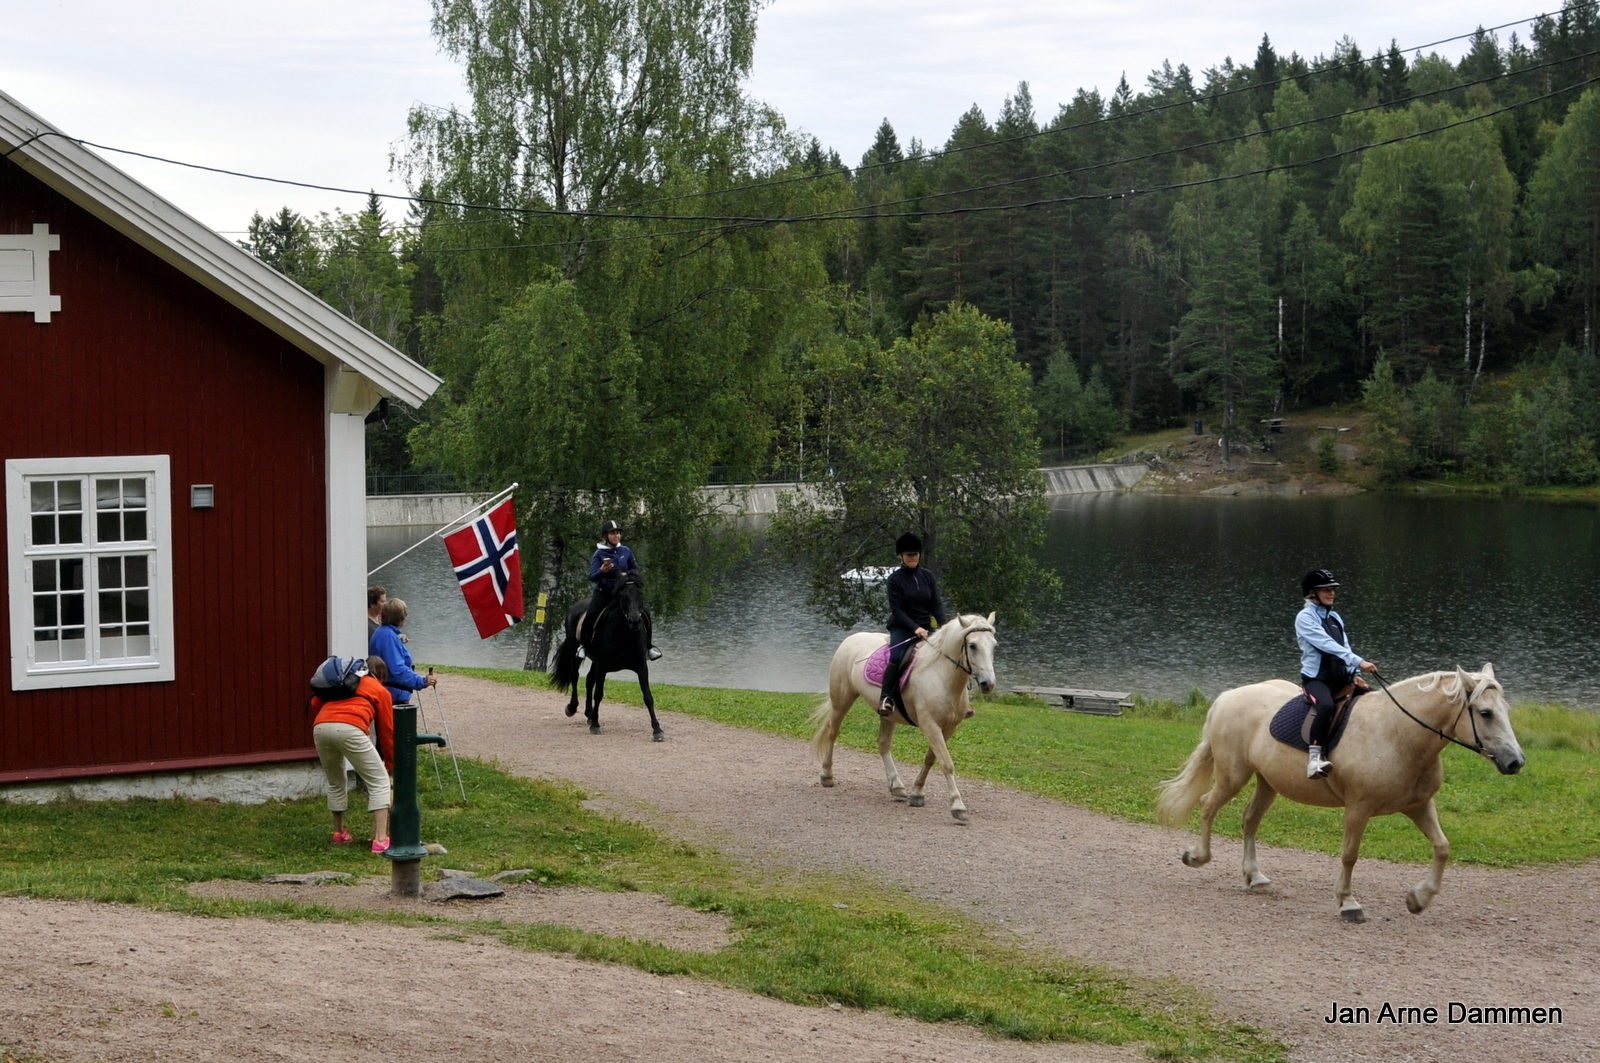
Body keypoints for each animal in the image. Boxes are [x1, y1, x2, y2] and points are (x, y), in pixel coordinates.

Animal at [550, 573, 662, 739]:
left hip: (595, 661)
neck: (625, 636)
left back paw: (589, 714)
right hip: (574, 652)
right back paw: (572, 708)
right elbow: (599, 694)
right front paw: (596, 725)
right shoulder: (603, 667)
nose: (635, 621)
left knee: (589, 680)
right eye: (622, 596)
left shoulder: (641, 666)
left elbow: (648, 697)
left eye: (640, 594)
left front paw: (657, 729)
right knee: (575, 676)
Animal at [812, 614, 998, 819]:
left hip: (887, 714)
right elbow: (946, 763)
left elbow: (931, 759)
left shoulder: (949, 728)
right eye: (972, 645)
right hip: (842, 700)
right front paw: (958, 806)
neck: (940, 675)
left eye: (994, 645)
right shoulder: (930, 725)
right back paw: (827, 775)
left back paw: (897, 787)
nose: (988, 684)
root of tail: (851, 639)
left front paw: (917, 793)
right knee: (833, 733)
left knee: (883, 743)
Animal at [1164, 665, 1523, 922]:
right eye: (1485, 713)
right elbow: (1350, 854)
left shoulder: (1419, 805)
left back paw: (1255, 877)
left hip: (1268, 783)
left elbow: (1442, 847)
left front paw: (1418, 899)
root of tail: (1227, 697)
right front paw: (1348, 903)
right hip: (1233, 776)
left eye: (1506, 709)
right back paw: (1198, 856)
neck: (1398, 734)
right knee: (1208, 805)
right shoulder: (1358, 808)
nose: (1515, 762)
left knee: (1249, 820)